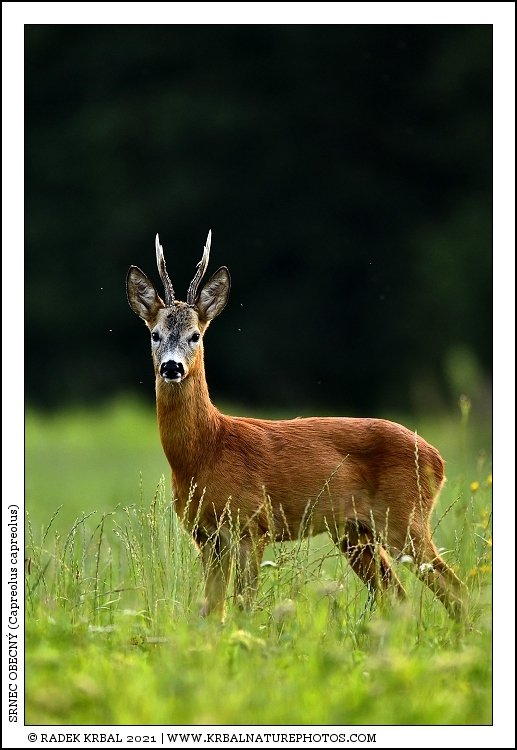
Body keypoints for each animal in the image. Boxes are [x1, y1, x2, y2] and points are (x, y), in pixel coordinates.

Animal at [126, 231, 467, 621]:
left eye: (195, 335)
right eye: (154, 334)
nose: (172, 367)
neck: (205, 452)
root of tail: (438, 459)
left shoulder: (252, 525)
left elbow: (242, 608)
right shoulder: (206, 535)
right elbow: (212, 612)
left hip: (405, 517)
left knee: (455, 588)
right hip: (354, 533)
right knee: (398, 595)